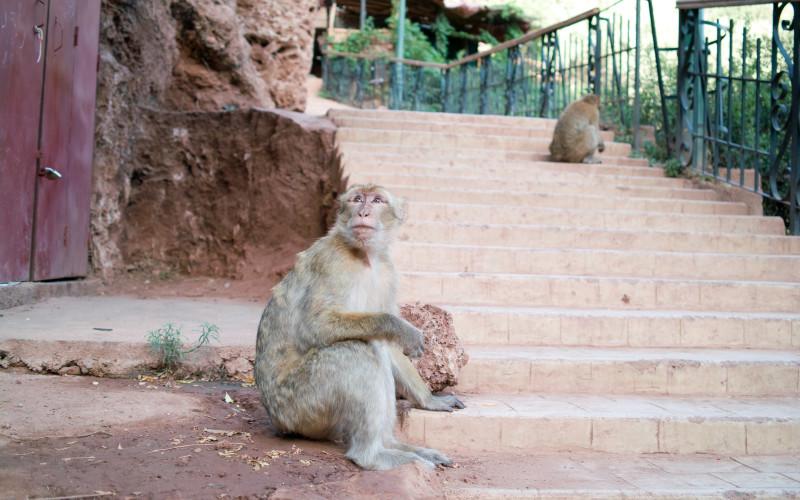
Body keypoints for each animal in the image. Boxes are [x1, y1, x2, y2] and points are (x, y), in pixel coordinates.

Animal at [250, 182, 462, 470]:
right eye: (357, 199)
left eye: (377, 200)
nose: (363, 213)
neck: (365, 256)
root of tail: (275, 416)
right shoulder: (332, 261)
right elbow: (314, 327)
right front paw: (403, 328)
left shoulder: (387, 272)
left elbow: (390, 346)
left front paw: (430, 400)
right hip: (297, 406)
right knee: (356, 350)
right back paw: (372, 455)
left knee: (374, 348)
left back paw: (394, 445)